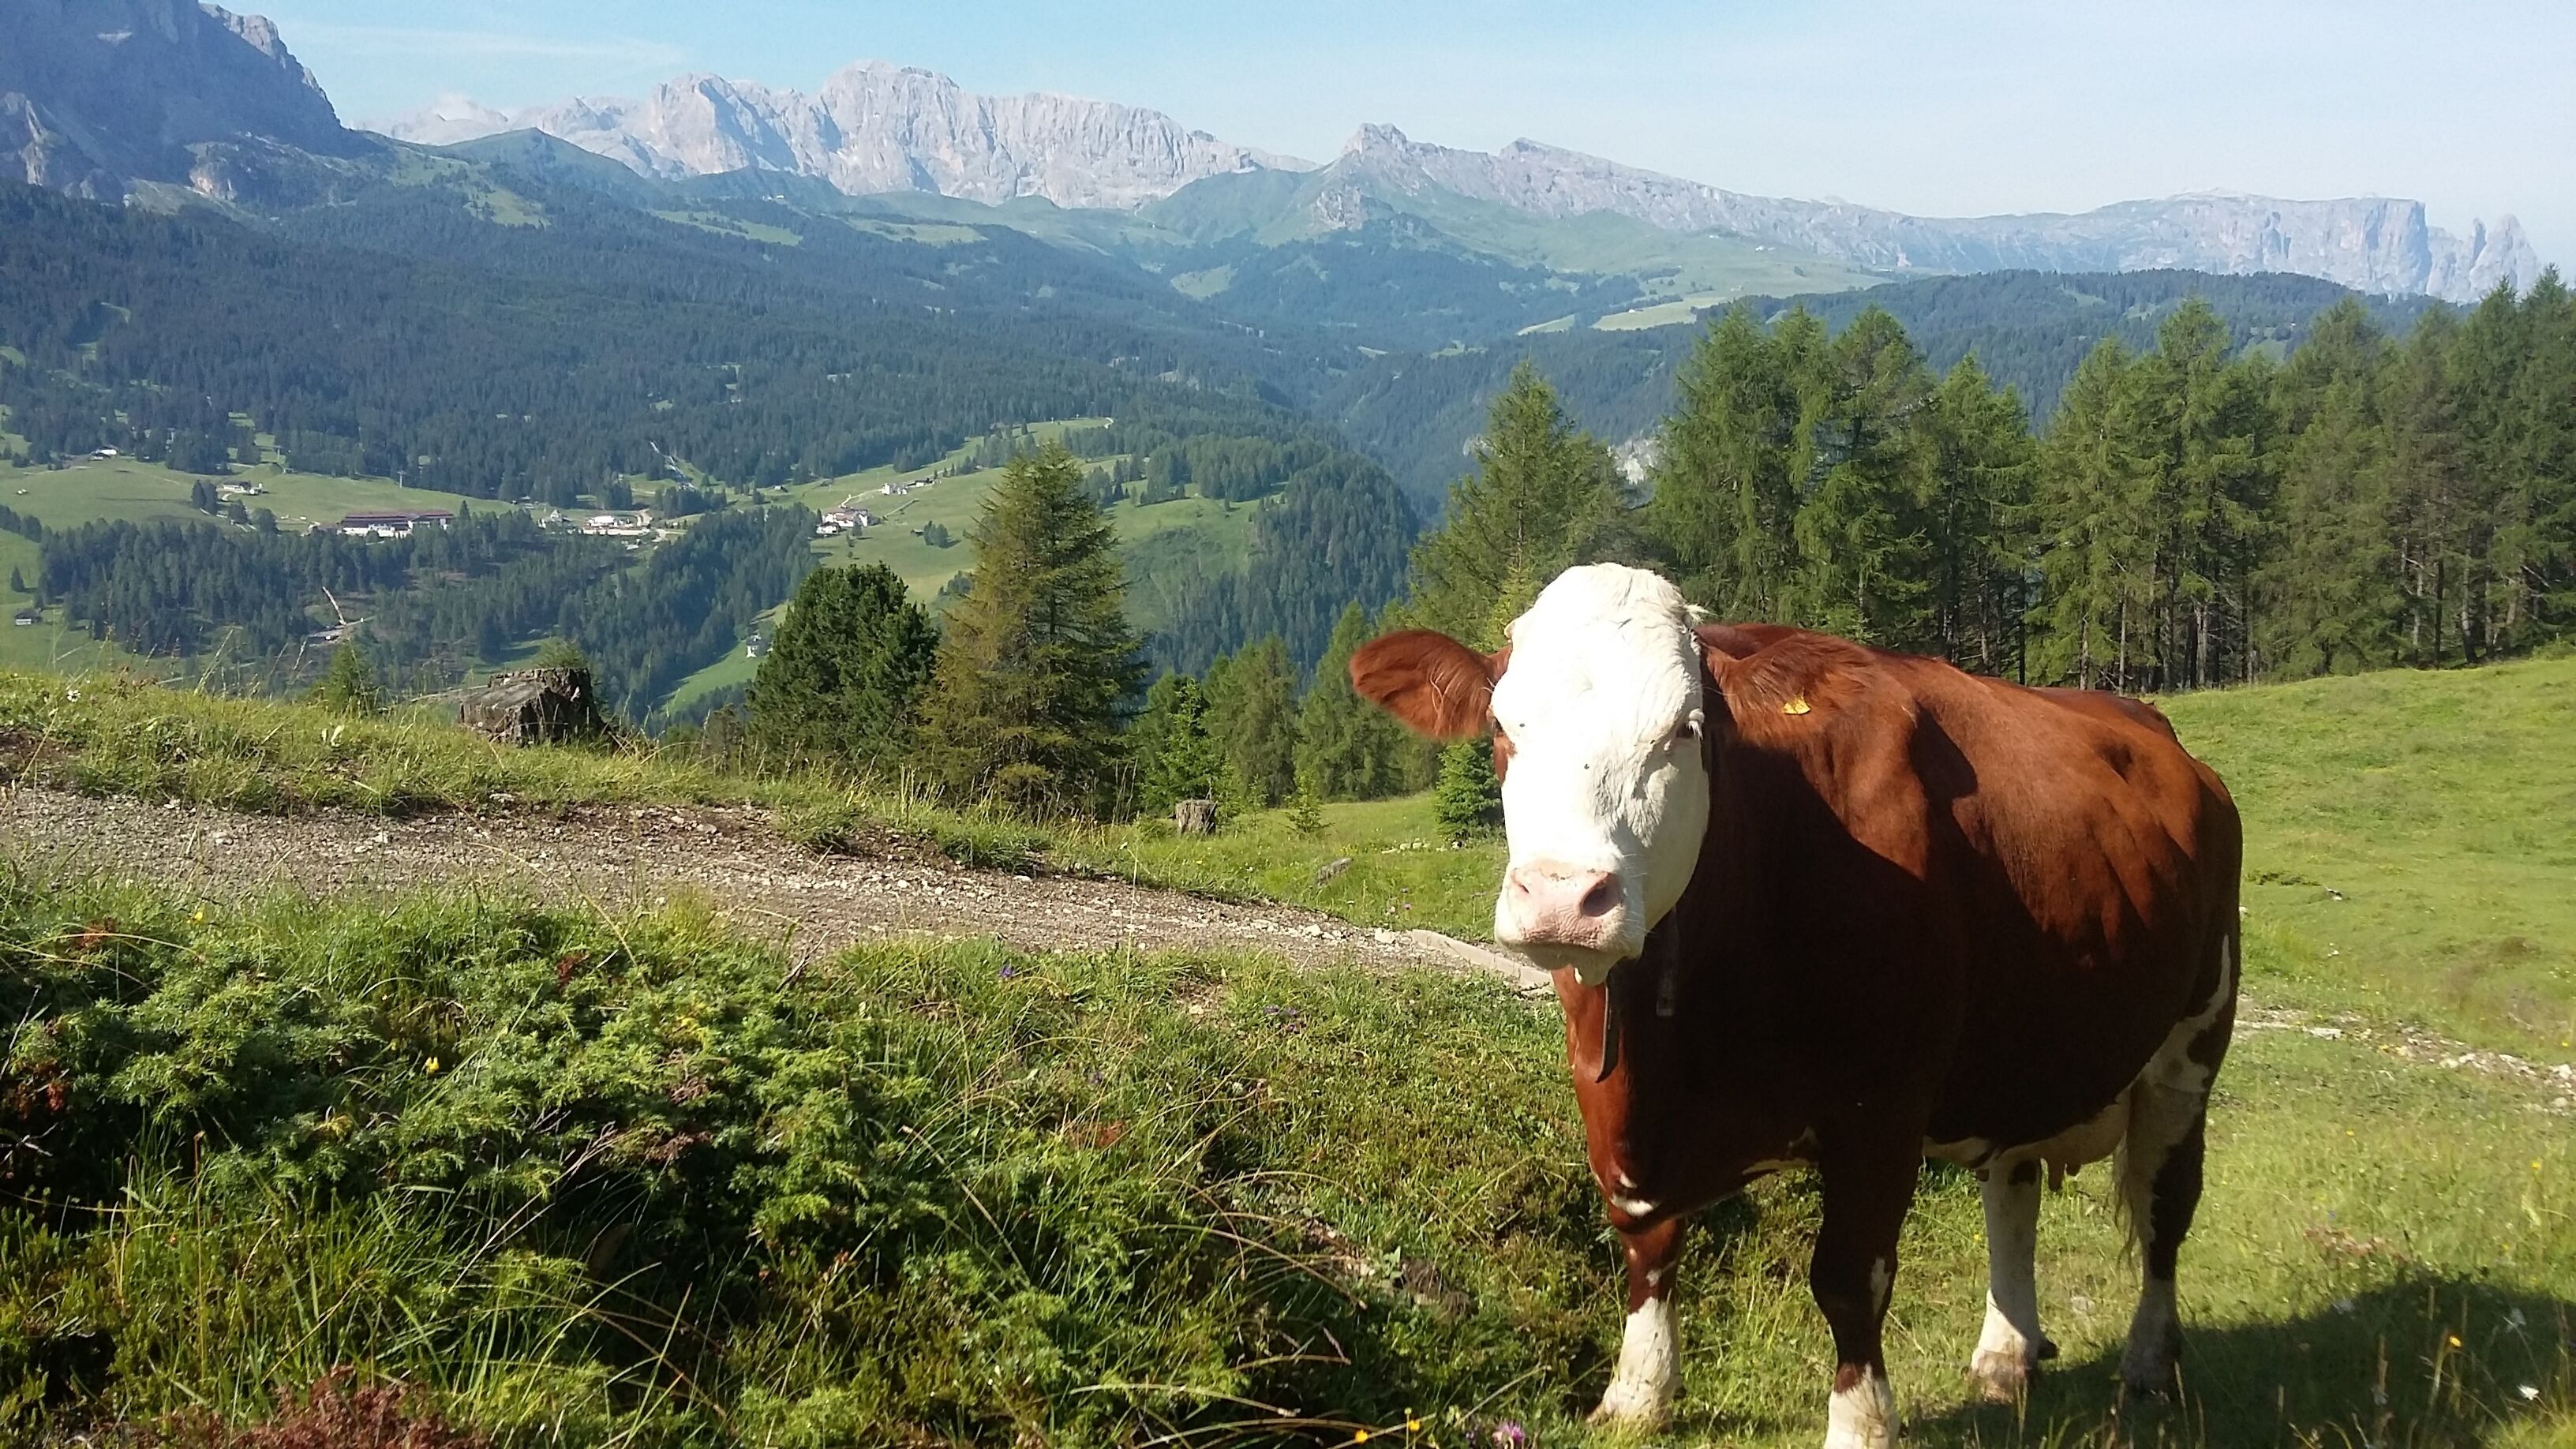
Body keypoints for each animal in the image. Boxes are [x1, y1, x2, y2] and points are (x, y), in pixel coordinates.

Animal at [1351, 564, 2241, 1449]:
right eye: (1504, 728)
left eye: (1685, 729)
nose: (1565, 898)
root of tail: (2161, 735)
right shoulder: (1607, 1084)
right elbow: (1645, 1235)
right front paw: (1638, 1392)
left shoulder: (1884, 1102)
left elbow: (1850, 1278)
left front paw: (1861, 1424)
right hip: (2024, 1049)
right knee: (2013, 1190)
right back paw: (2005, 1354)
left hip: (2192, 1043)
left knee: (2166, 1207)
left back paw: (2149, 1363)